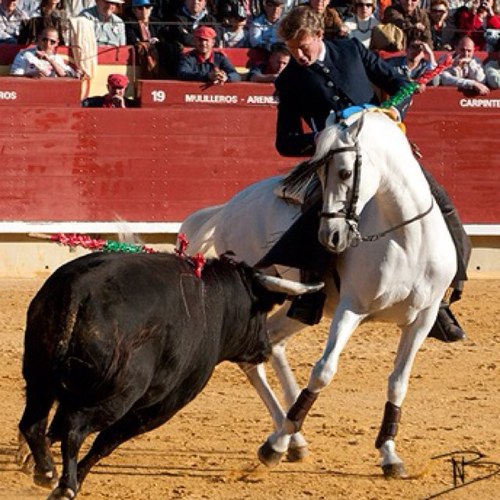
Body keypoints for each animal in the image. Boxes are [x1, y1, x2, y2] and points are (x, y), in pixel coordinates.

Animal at [18, 252, 320, 498]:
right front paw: (73, 477)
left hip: (38, 378)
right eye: (260, 311)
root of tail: (78, 292)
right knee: (74, 430)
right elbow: (105, 442)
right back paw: (65, 486)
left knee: (34, 424)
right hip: (116, 398)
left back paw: (46, 471)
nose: (265, 348)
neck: (217, 301)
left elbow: (57, 431)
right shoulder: (161, 407)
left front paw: (33, 464)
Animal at [180, 110, 458, 476]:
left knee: (273, 343)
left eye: (344, 172)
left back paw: (294, 437)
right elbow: (324, 371)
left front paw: (389, 454)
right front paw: (274, 445)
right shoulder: (352, 308)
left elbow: (398, 382)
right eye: (319, 175)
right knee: (252, 355)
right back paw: (287, 436)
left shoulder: (422, 319)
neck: (407, 237)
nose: (331, 236)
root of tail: (228, 207)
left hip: (297, 302)